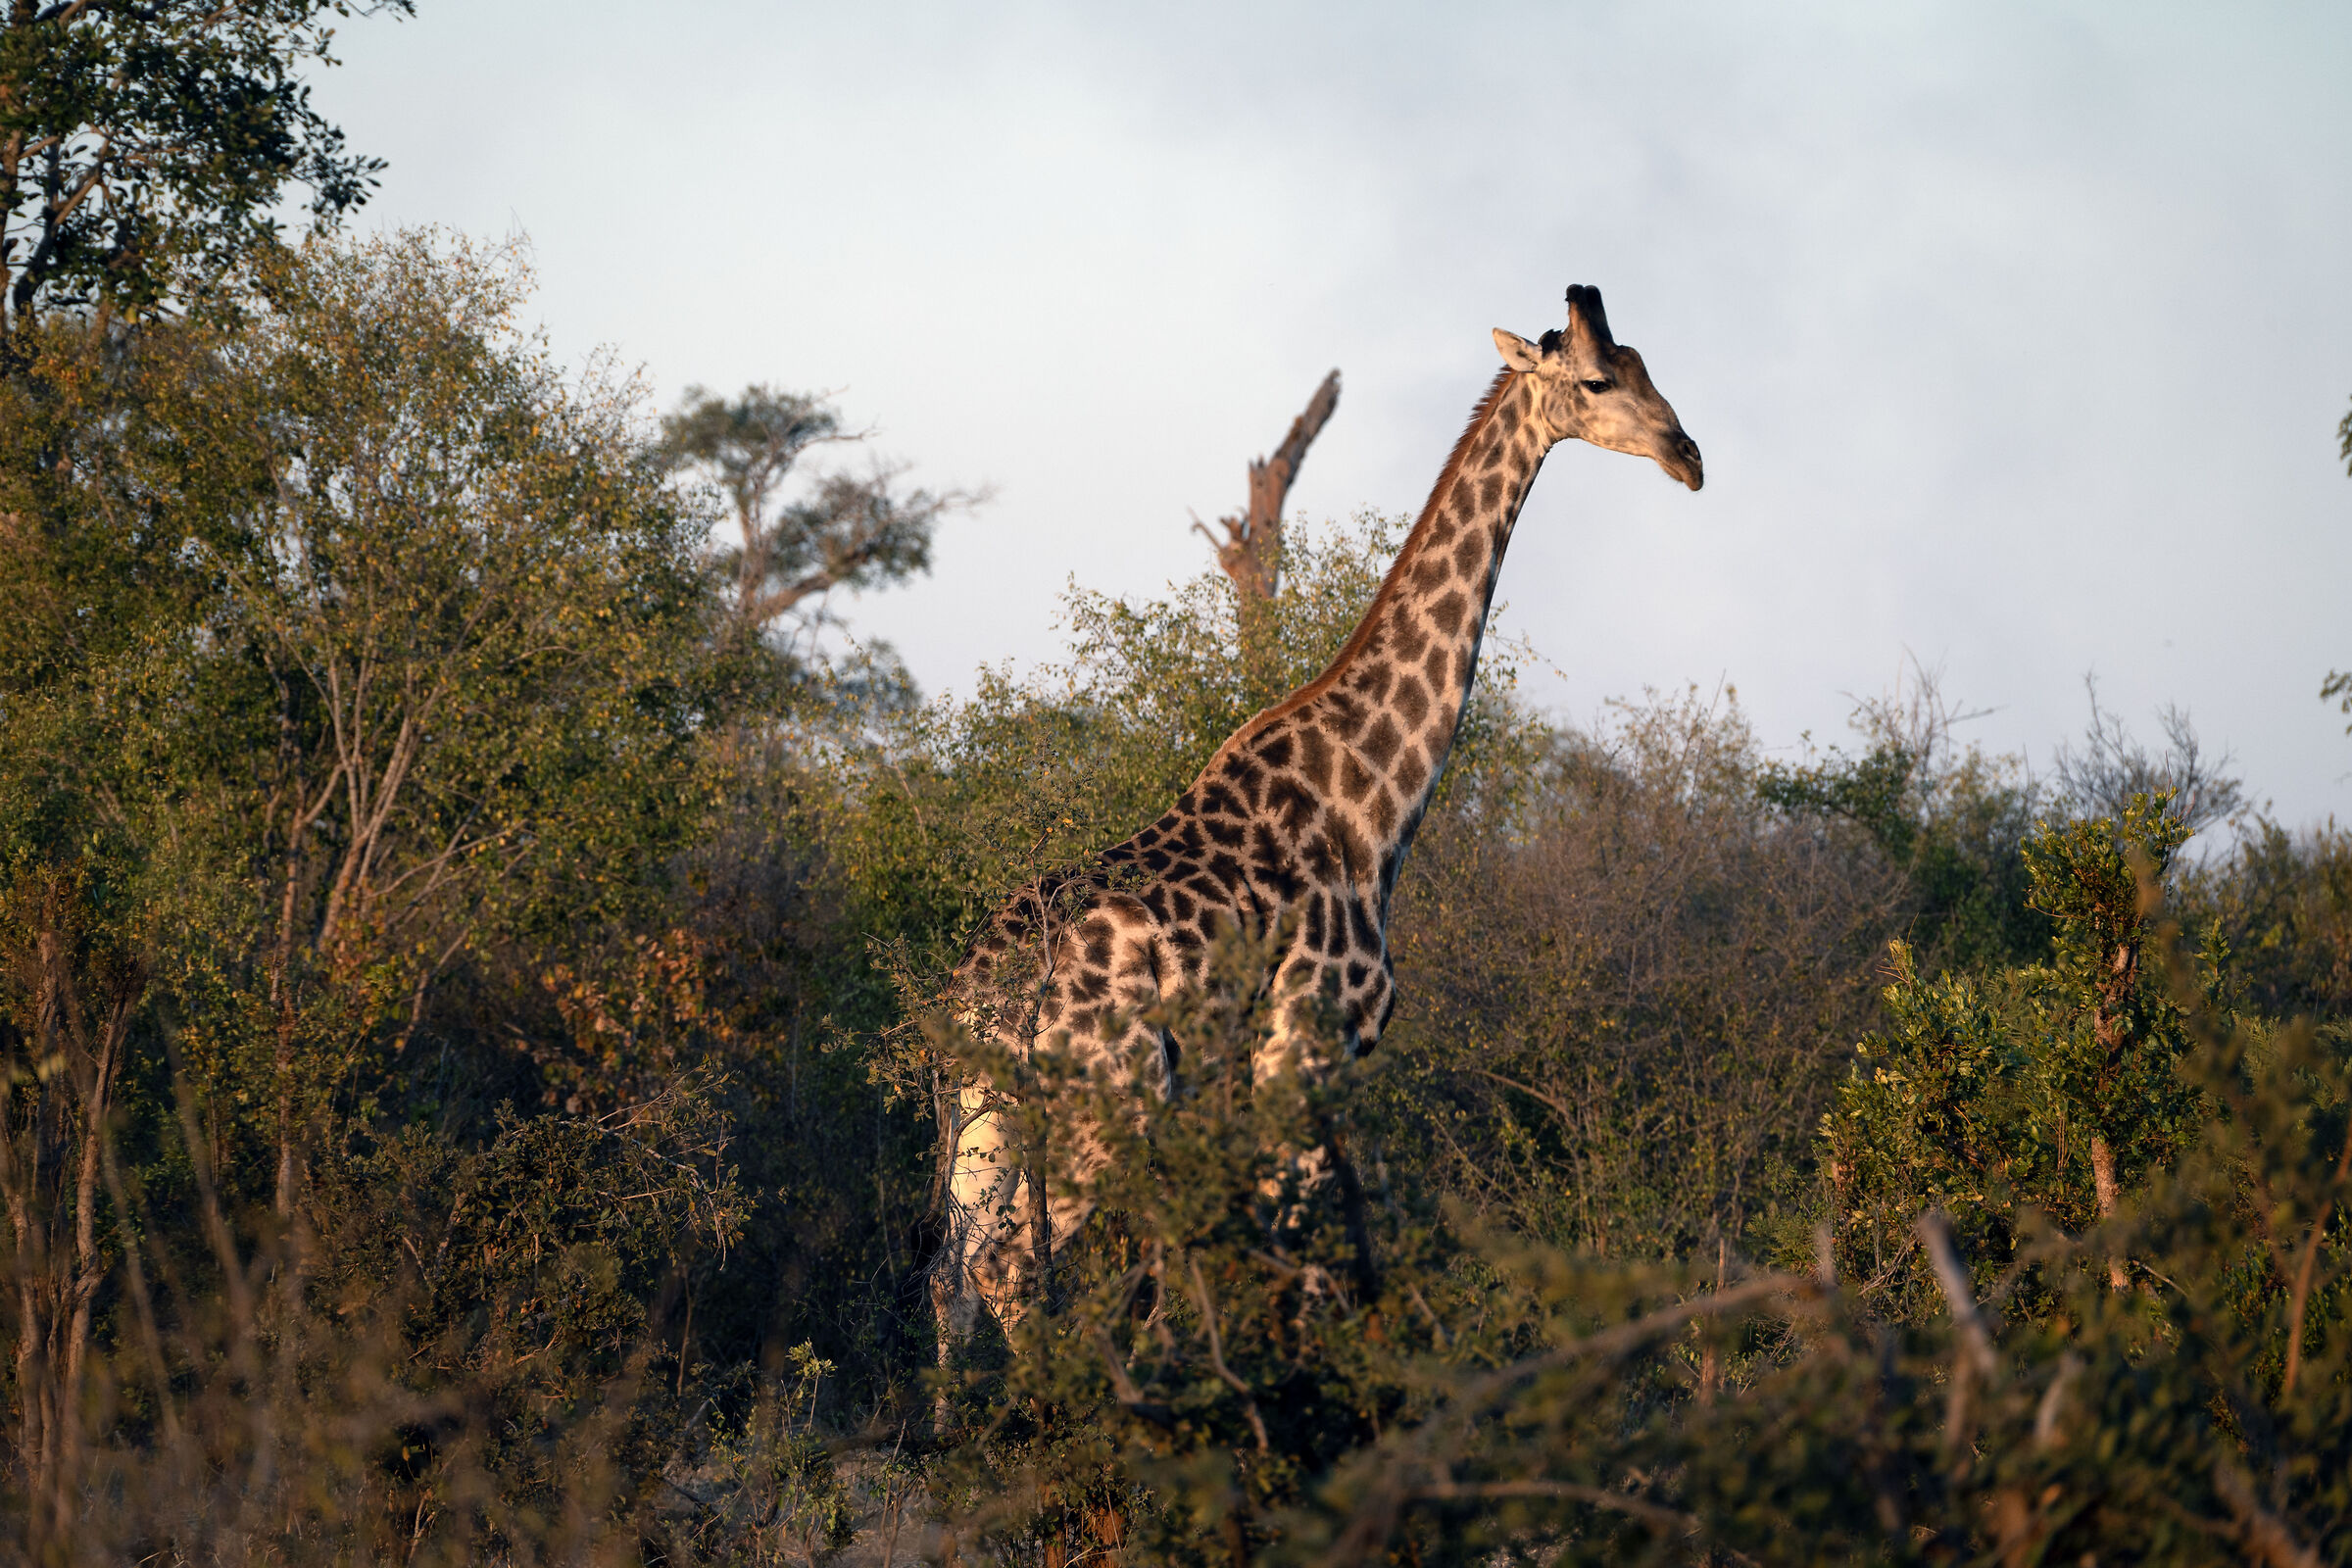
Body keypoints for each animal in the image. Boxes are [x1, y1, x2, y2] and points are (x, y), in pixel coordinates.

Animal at [934, 284, 1703, 1362]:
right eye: (1596, 381)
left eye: (1644, 366)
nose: (1689, 455)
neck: (1376, 800)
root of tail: (985, 988)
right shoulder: (1308, 1044)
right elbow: (1296, 1266)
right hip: (1109, 1091)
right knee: (1008, 1263)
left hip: (990, 1108)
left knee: (955, 1276)